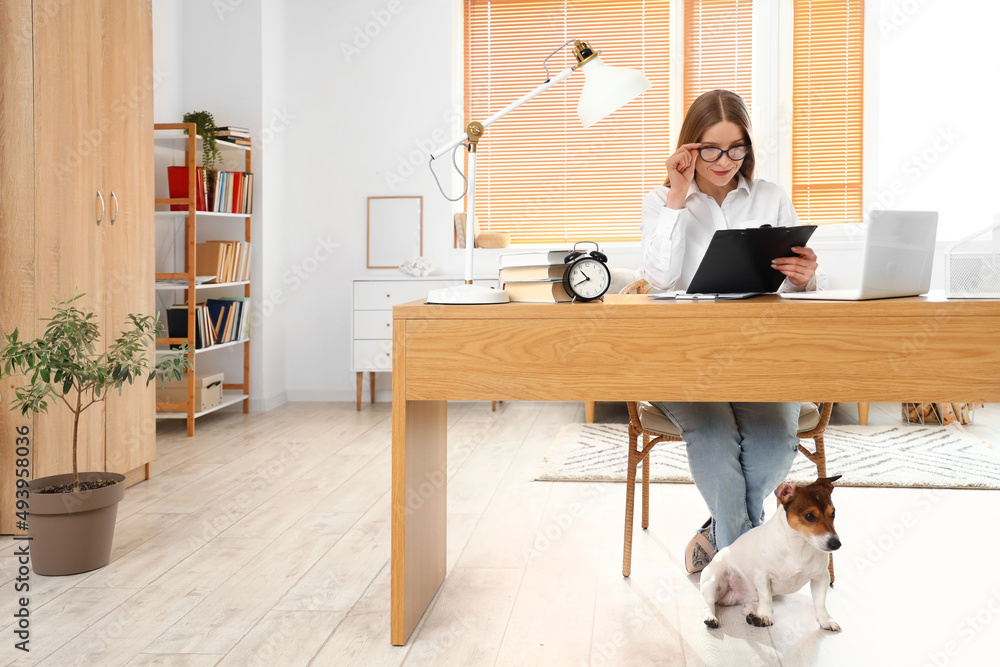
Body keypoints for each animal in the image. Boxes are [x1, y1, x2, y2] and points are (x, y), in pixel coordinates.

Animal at [704, 472, 844, 636]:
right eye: (809, 516)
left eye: (833, 513)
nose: (836, 544)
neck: (798, 546)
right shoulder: (762, 575)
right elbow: (765, 598)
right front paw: (765, 616)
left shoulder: (821, 577)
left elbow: (820, 602)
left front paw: (826, 620)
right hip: (713, 583)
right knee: (709, 603)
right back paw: (711, 617)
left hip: (749, 597)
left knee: (750, 605)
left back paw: (752, 615)